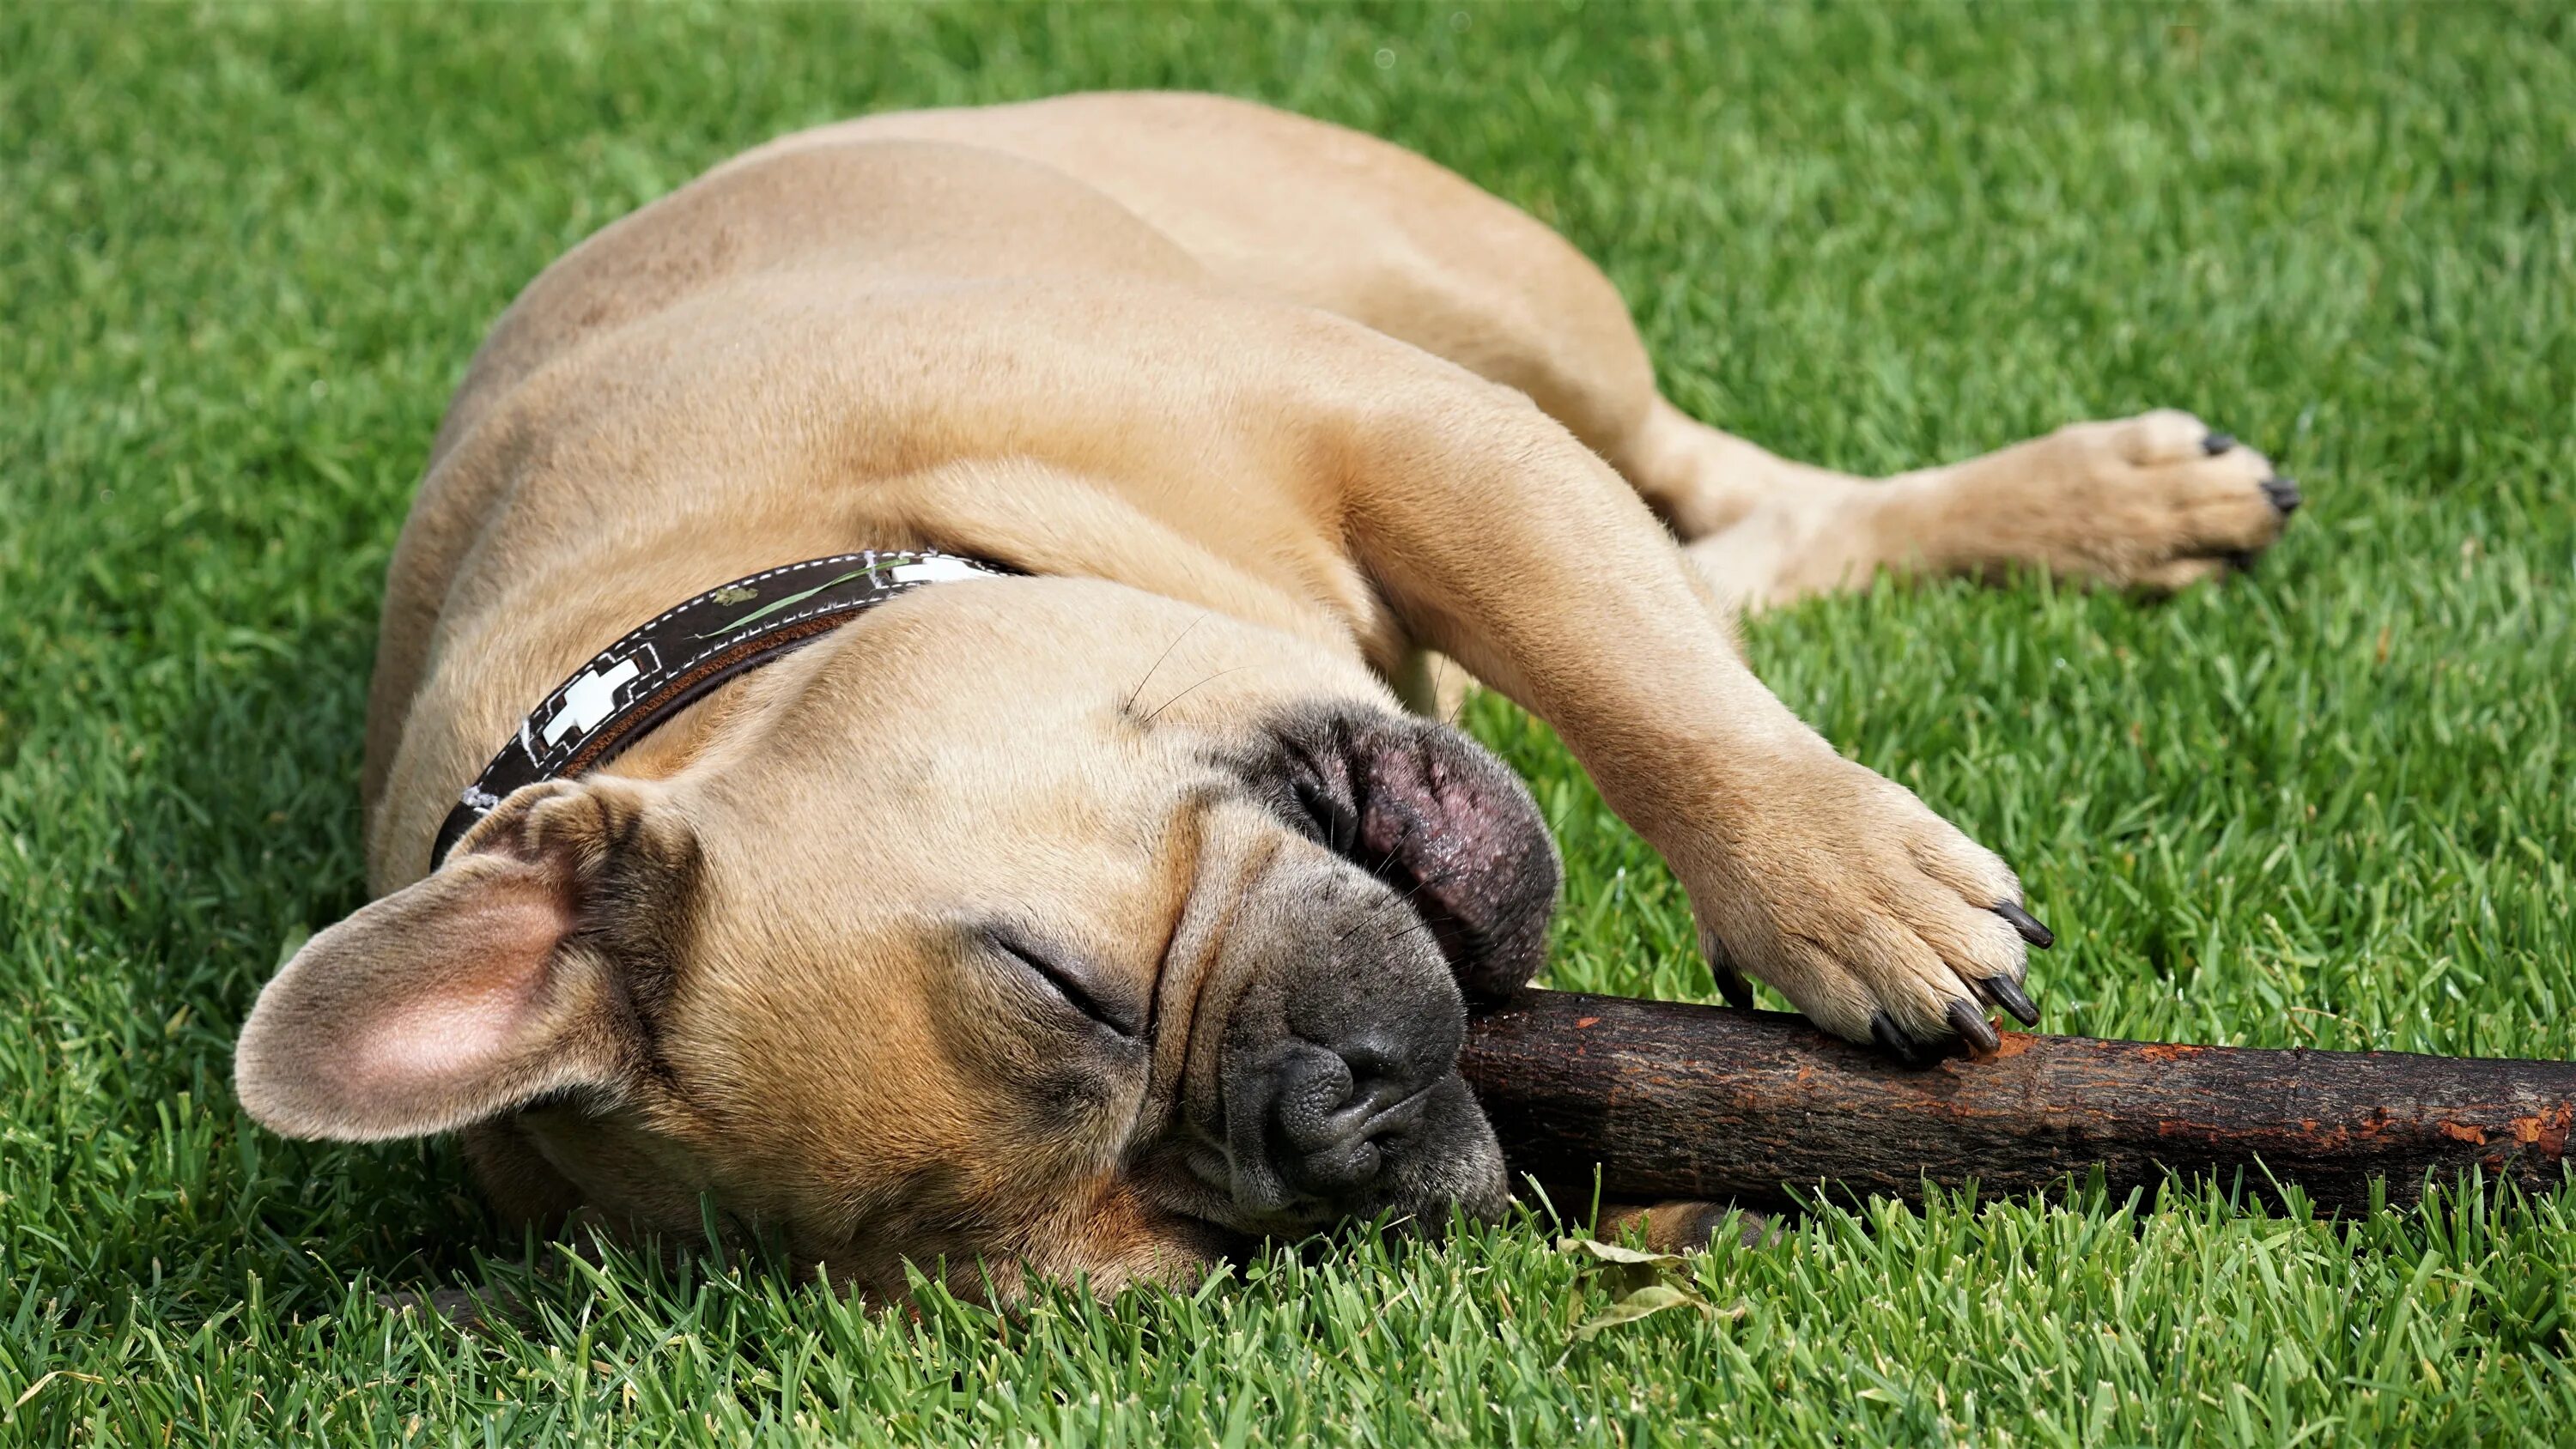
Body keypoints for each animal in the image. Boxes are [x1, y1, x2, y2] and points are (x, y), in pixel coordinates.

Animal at [237, 90, 2298, 1297]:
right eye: (1196, 1250)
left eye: (1050, 981)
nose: (1314, 1117)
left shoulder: (1420, 434)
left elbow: (1639, 680)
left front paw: (1839, 888)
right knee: (1729, 552)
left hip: (1504, 302)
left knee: (1707, 496)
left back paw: (2105, 504)